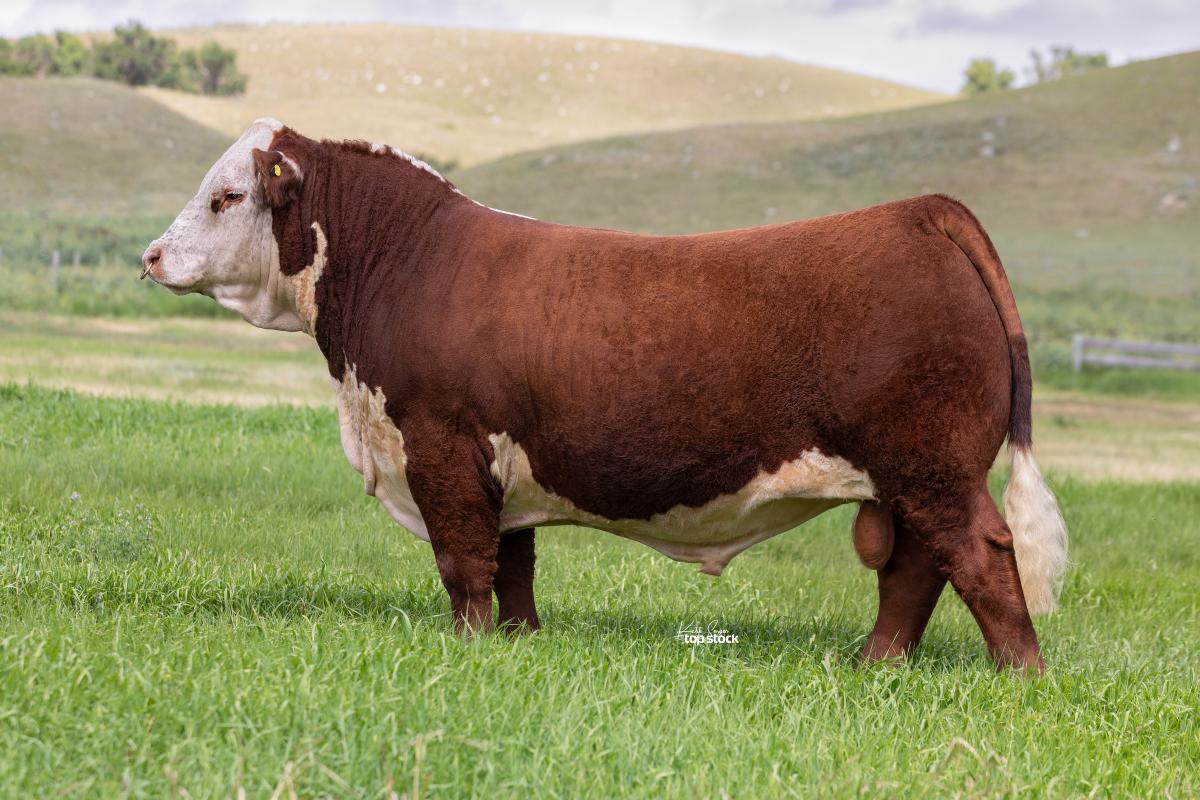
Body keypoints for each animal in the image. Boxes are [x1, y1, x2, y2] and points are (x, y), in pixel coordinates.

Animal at [142, 117, 1070, 671]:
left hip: (932, 467)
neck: (405, 261)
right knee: (914, 571)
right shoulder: (497, 463)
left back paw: (1018, 675)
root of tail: (921, 210)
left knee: (981, 555)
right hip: (907, 479)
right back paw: (877, 665)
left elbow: (463, 563)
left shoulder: (441, 444)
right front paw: (517, 644)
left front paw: (467, 649)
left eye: (227, 196)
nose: (150, 256)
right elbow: (512, 564)